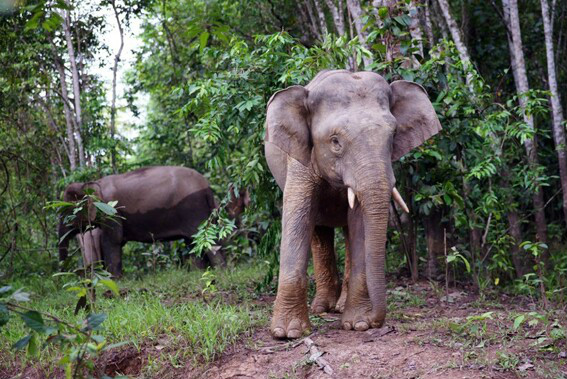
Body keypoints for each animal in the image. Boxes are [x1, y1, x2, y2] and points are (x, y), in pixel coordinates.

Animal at [264, 70, 442, 340]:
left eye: (393, 136)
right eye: (335, 141)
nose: (377, 321)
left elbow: (359, 223)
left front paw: (358, 324)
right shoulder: (300, 162)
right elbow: (297, 218)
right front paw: (288, 333)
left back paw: (338, 307)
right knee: (319, 230)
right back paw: (322, 307)